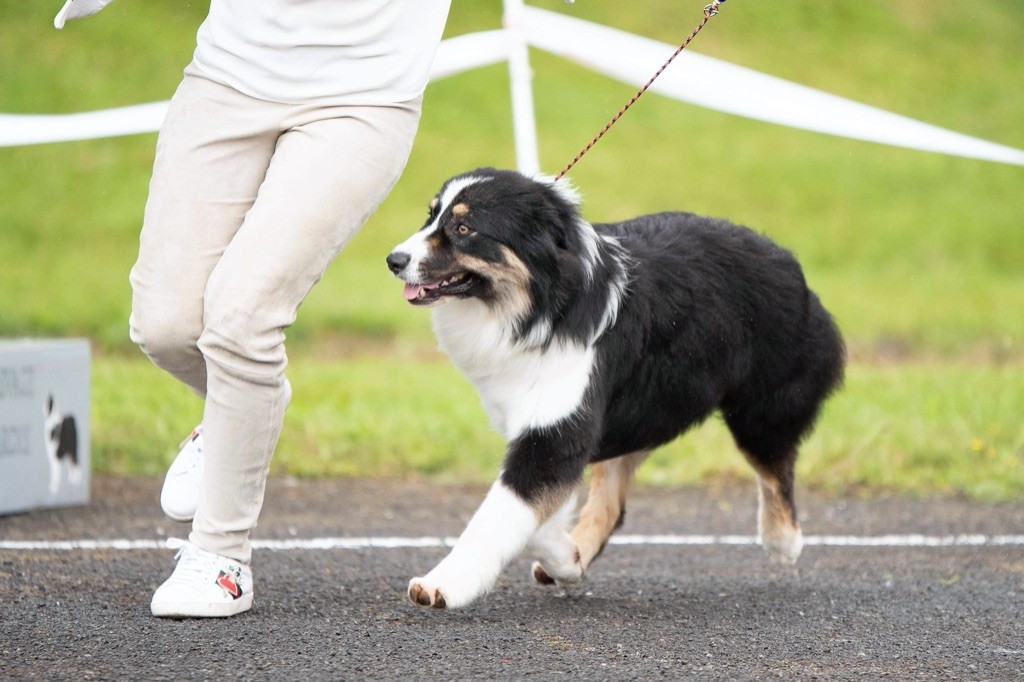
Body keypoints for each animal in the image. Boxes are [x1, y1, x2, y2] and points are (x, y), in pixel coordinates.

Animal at [387, 168, 843, 606]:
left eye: (465, 228)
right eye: (431, 215)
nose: (393, 259)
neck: (544, 306)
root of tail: (786, 258)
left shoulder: (556, 431)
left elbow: (498, 516)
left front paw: (442, 584)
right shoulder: (554, 425)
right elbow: (537, 515)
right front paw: (567, 558)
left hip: (760, 407)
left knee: (775, 467)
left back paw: (783, 540)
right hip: (644, 412)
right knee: (612, 503)